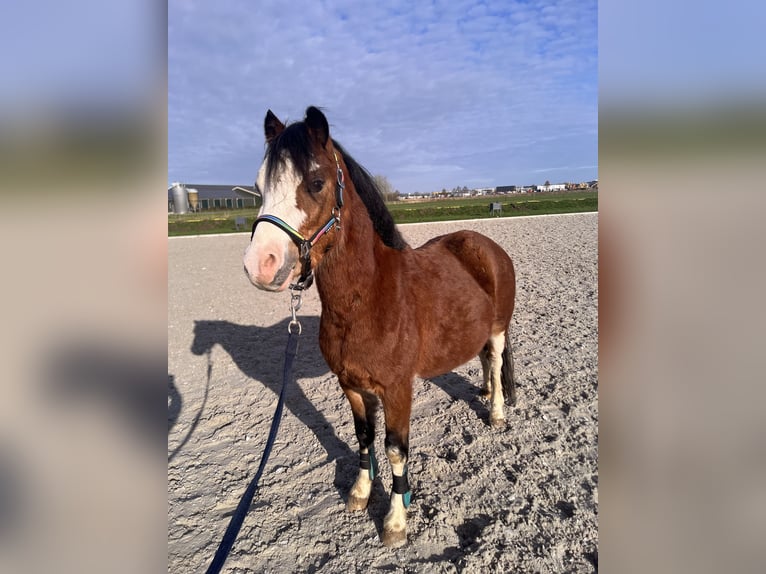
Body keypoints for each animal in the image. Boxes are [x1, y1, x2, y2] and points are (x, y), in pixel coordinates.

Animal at [243, 106, 517, 548]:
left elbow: (395, 450)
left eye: (316, 182)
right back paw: (486, 394)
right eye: (258, 186)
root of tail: (486, 245)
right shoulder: (352, 385)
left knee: (493, 362)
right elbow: (364, 437)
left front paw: (396, 521)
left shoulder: (397, 389)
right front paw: (359, 492)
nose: (260, 265)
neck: (368, 299)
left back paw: (496, 412)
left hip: (497, 330)